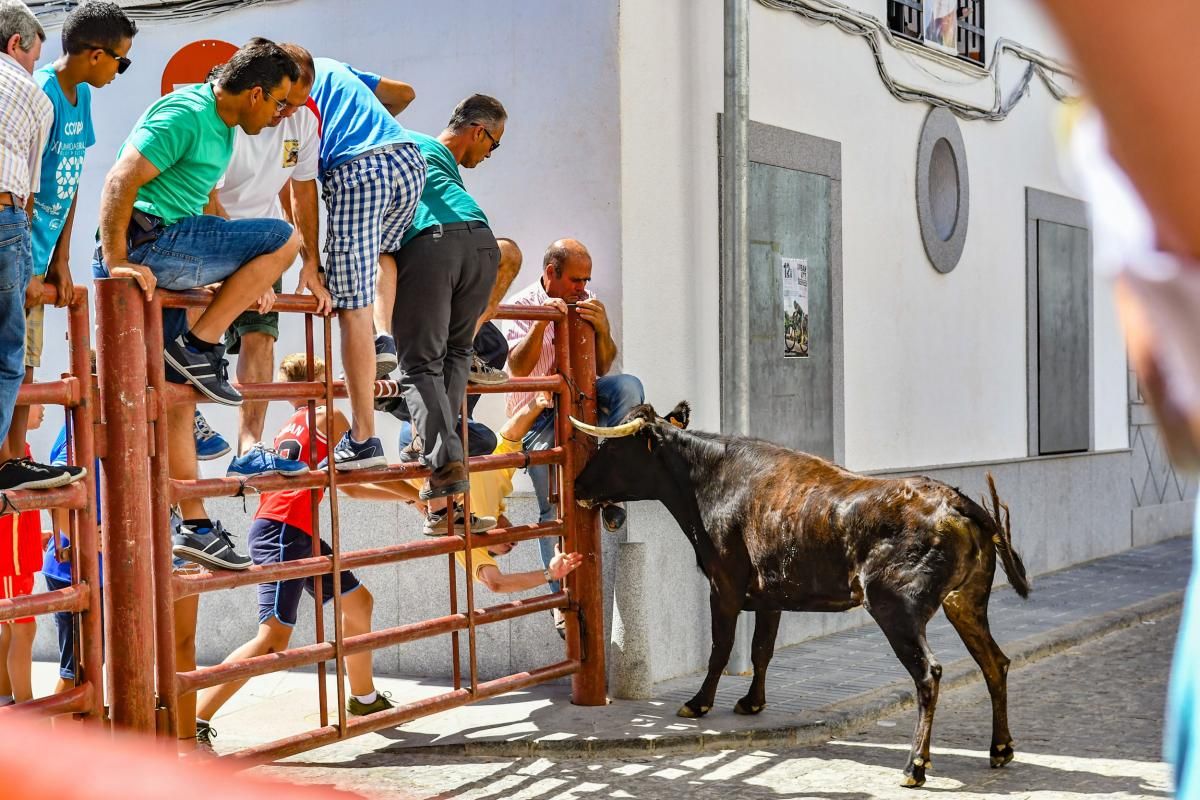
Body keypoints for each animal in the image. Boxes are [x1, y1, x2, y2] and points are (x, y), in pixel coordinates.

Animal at [571, 400, 1032, 786]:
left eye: (609, 448)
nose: (576, 487)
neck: (710, 483)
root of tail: (956, 500)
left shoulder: (724, 585)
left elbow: (721, 648)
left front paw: (699, 703)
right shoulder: (769, 594)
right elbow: (761, 649)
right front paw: (752, 703)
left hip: (896, 608)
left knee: (928, 674)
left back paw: (915, 766)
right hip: (965, 602)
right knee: (995, 662)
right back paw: (1000, 748)